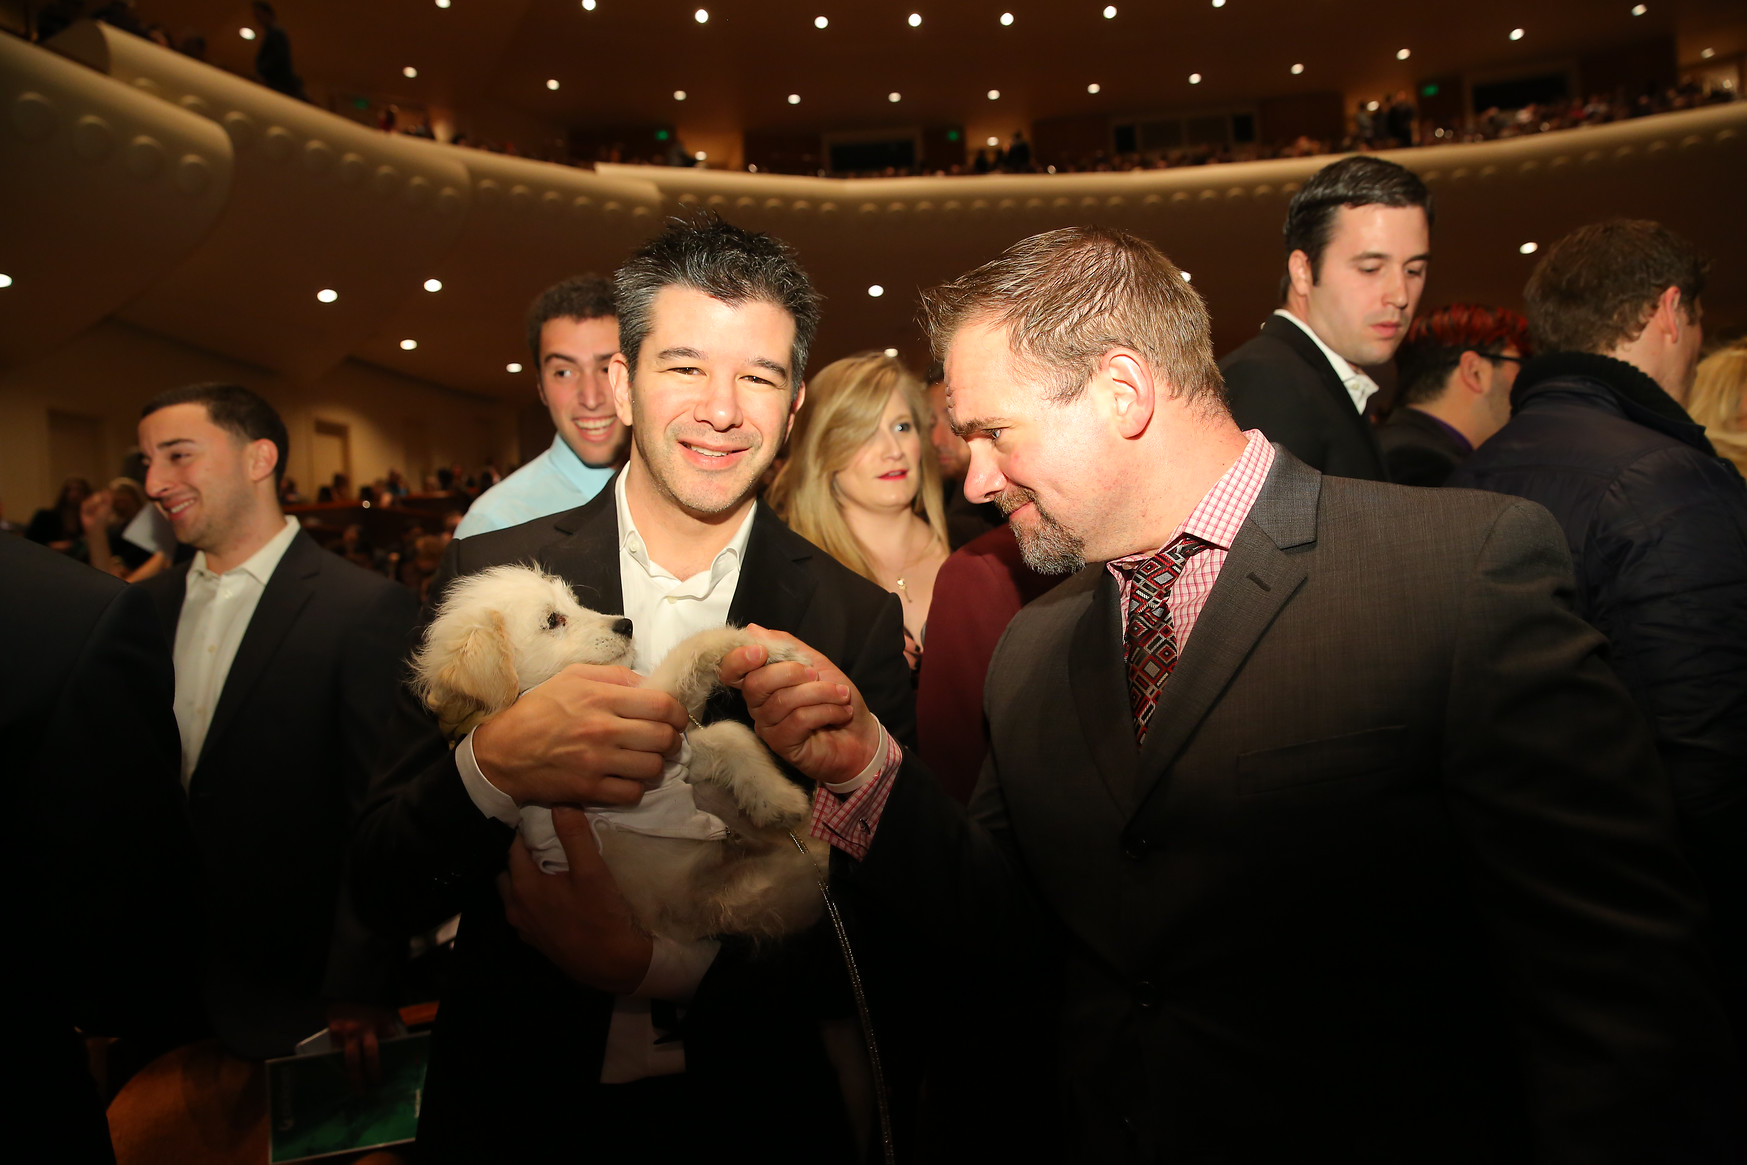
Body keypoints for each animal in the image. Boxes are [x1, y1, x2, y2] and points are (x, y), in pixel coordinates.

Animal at [419, 565, 835, 950]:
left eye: (573, 602)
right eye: (553, 620)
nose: (626, 625)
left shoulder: (671, 743)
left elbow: (733, 734)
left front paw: (775, 799)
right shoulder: (649, 714)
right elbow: (698, 645)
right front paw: (762, 647)